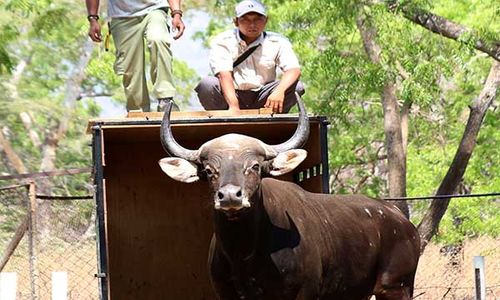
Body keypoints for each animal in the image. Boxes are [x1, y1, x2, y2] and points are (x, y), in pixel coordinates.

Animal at [158, 99, 420, 298]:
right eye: (209, 170)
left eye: (255, 166)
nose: (230, 196)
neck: (244, 255)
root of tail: (402, 221)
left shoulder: (304, 293)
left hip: (395, 287)